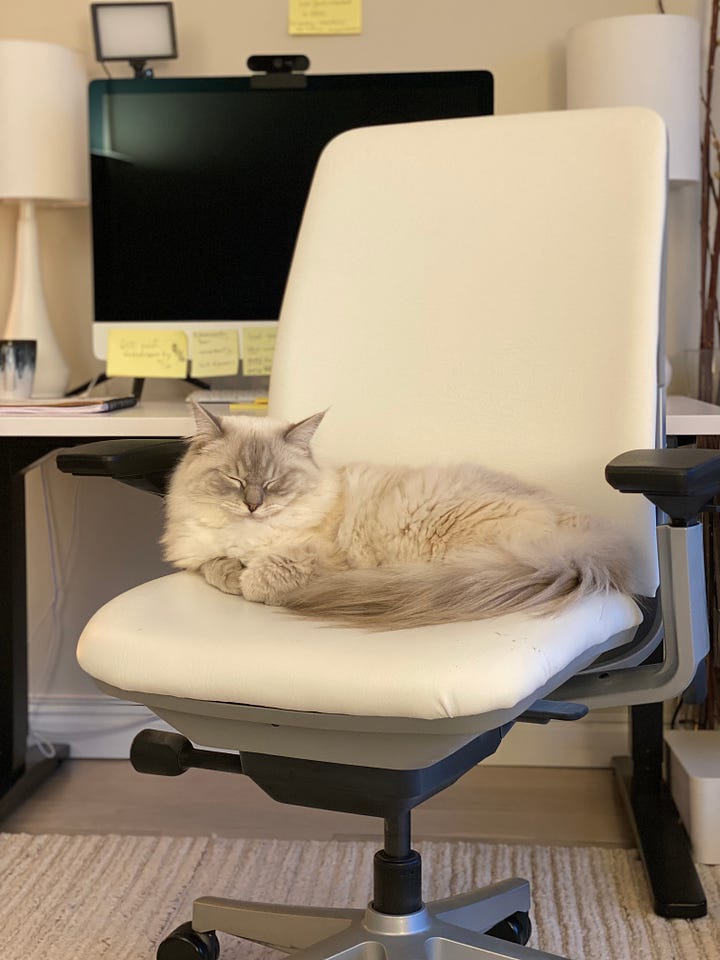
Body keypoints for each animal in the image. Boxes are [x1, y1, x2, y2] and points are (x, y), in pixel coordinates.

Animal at [160, 404, 640, 632]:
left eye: (275, 481)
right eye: (235, 479)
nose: (253, 505)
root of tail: (584, 542)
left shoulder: (320, 556)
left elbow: (263, 574)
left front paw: (248, 579)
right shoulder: (200, 553)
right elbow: (214, 565)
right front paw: (231, 570)